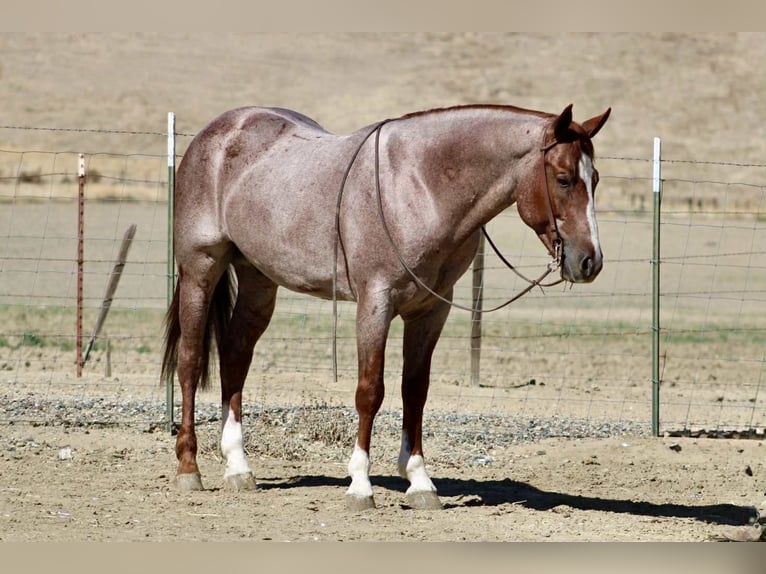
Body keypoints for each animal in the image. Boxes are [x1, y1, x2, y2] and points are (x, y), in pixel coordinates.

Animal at [161, 102, 611, 510]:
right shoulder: (374, 304)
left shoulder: (430, 311)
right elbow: (370, 391)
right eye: (564, 179)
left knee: (235, 356)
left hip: (258, 280)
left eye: (595, 179)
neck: (420, 185)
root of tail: (218, 132)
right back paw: (189, 469)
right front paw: (360, 486)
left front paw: (420, 482)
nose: (590, 261)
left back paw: (238, 467)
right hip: (201, 270)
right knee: (190, 362)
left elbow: (415, 390)